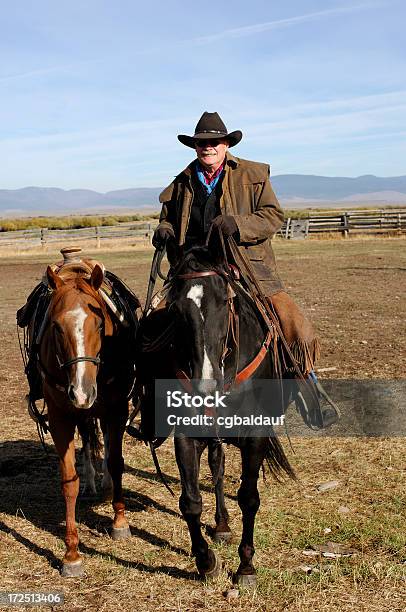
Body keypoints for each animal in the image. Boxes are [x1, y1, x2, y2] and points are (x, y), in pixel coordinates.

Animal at [39, 266, 138, 576]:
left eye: (99, 324)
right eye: (56, 326)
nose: (82, 392)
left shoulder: (117, 410)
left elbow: (117, 463)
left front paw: (120, 523)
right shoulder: (60, 418)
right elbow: (68, 481)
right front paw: (71, 555)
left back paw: (105, 486)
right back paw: (93, 483)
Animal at [140, 241, 294, 584]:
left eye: (226, 301)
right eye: (176, 309)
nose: (205, 386)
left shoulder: (256, 434)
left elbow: (249, 497)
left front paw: (246, 566)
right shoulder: (186, 433)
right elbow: (190, 501)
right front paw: (205, 561)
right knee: (217, 466)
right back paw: (221, 525)